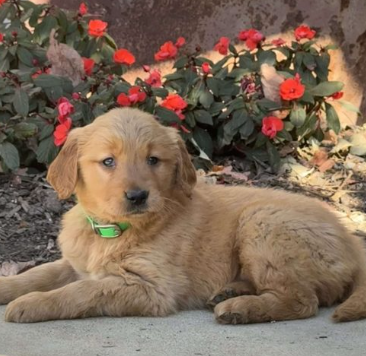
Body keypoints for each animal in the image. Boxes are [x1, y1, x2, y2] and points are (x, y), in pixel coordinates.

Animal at [0, 108, 366, 322]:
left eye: (153, 160)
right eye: (108, 162)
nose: (138, 196)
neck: (113, 230)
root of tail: (352, 244)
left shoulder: (150, 287)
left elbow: (83, 292)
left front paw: (31, 305)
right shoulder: (74, 264)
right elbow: (38, 273)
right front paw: (9, 288)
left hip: (263, 221)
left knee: (304, 301)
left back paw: (240, 309)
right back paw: (232, 291)